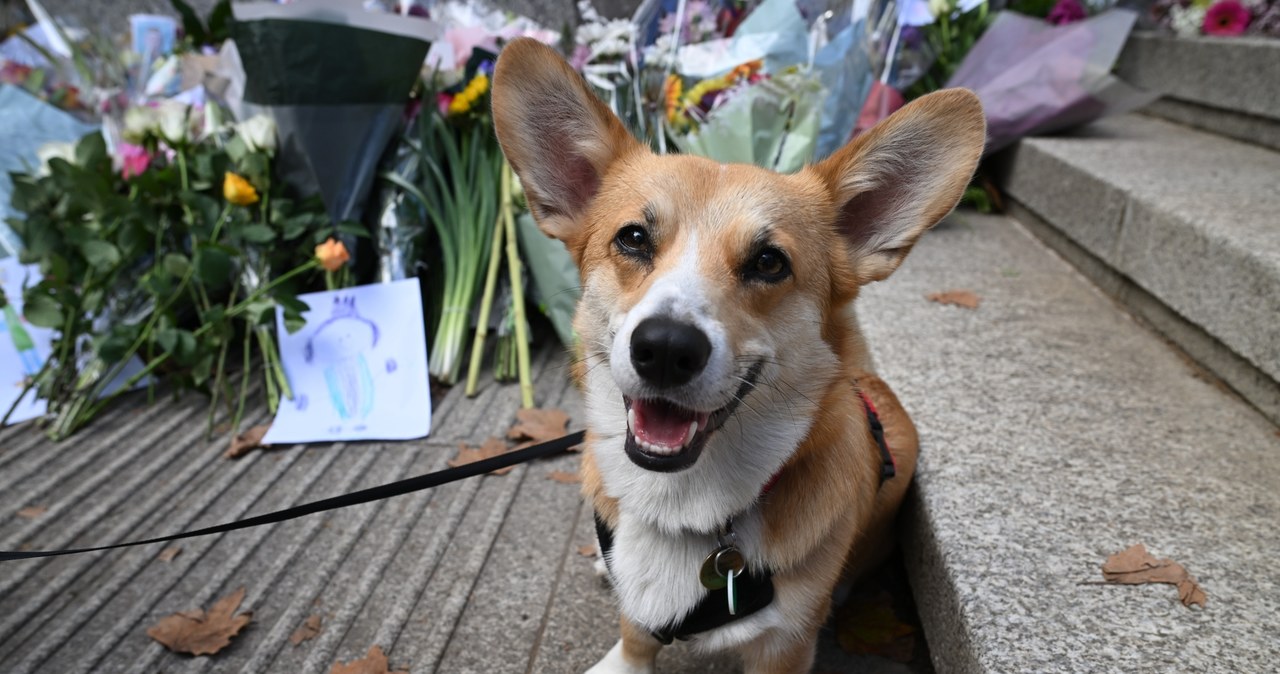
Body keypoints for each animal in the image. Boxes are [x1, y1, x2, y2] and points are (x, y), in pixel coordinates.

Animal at [494, 38, 983, 674]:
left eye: (769, 262)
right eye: (632, 239)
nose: (665, 349)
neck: (679, 506)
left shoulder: (783, 650)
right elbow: (634, 635)